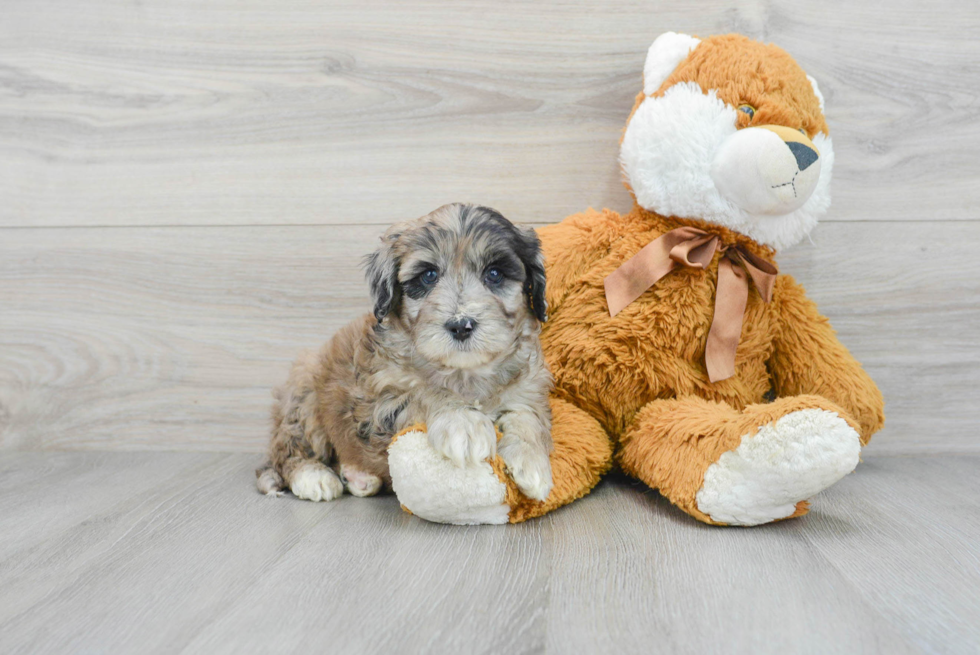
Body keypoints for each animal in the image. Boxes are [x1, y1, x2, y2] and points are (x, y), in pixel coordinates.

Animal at [256, 204, 556, 502]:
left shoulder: (527, 387)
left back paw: (358, 477)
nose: (461, 326)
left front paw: (533, 462)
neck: (464, 372)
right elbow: (424, 391)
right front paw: (464, 421)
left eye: (494, 274)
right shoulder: (381, 397)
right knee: (288, 452)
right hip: (304, 399)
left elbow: (528, 416)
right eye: (429, 276)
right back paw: (314, 477)